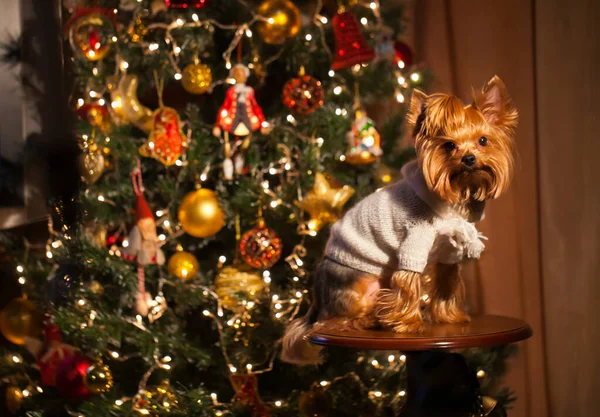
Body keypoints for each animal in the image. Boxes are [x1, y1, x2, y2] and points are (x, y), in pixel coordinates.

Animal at [284, 75, 516, 364]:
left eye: (483, 140)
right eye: (448, 145)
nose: (469, 158)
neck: (457, 192)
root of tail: (317, 297)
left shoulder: (449, 250)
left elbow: (447, 280)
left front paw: (449, 316)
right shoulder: (414, 240)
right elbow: (408, 283)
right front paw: (409, 324)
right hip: (354, 290)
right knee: (333, 322)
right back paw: (368, 320)